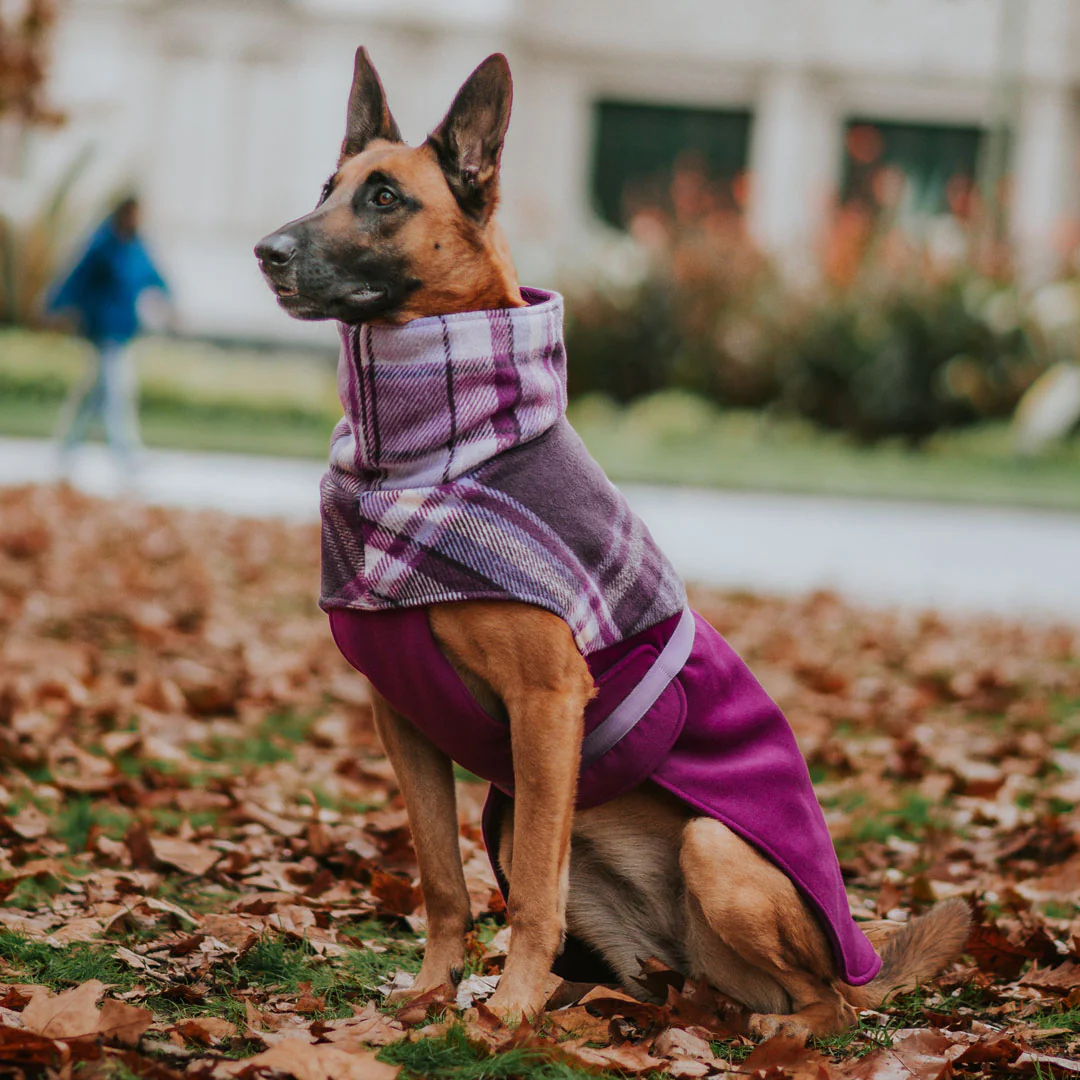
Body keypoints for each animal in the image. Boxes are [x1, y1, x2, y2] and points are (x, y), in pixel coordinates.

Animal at [254, 48, 972, 1036]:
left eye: (386, 199)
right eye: (327, 189)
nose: (268, 253)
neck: (421, 456)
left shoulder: (549, 705)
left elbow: (531, 896)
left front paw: (507, 1012)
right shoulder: (401, 719)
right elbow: (443, 880)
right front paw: (435, 993)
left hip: (711, 848)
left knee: (828, 1005)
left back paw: (770, 1030)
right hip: (551, 845)